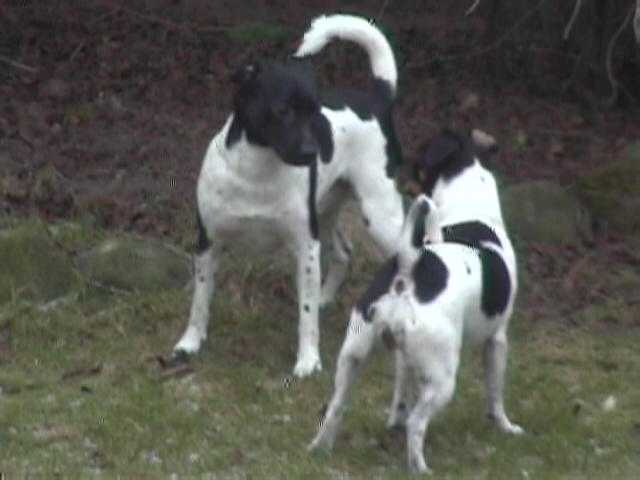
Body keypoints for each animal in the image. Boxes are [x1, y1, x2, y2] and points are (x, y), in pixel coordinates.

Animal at [171, 15, 404, 376]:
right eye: (282, 110)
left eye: (315, 112)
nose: (311, 152)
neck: (257, 172)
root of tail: (379, 98)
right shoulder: (207, 242)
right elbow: (199, 301)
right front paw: (190, 343)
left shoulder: (305, 247)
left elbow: (306, 318)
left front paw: (308, 360)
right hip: (326, 212)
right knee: (344, 252)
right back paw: (325, 297)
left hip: (380, 217)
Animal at [308, 130, 524, 472]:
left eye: (419, 159)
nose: (397, 169)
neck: (470, 209)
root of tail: (409, 269)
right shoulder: (497, 340)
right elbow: (495, 392)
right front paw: (504, 426)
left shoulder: (404, 355)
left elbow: (400, 393)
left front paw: (393, 420)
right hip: (443, 378)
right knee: (417, 423)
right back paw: (419, 466)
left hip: (353, 356)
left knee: (336, 407)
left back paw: (320, 448)